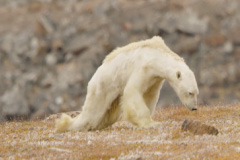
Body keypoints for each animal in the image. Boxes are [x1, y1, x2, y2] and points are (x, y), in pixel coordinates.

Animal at [54, 36, 199, 132]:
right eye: (190, 92)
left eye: (196, 93)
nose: (194, 108)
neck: (156, 55)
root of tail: (93, 79)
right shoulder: (143, 67)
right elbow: (132, 91)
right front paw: (150, 123)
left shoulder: (155, 79)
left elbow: (150, 96)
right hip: (102, 87)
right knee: (92, 114)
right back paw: (65, 124)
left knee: (108, 116)